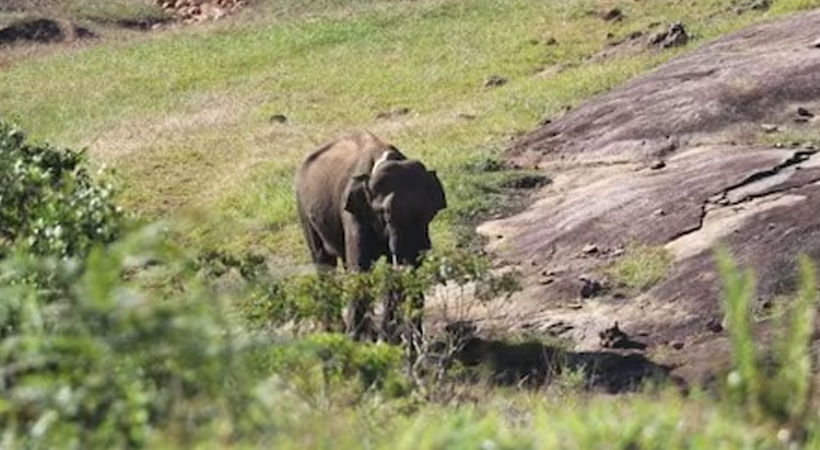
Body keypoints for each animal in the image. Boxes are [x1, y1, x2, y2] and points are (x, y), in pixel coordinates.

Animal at [296, 130, 448, 270]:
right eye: (384, 214)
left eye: (427, 213)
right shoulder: (352, 213)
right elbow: (359, 265)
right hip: (303, 208)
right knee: (322, 258)